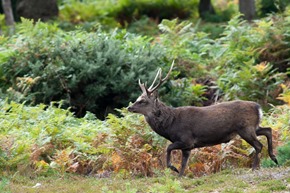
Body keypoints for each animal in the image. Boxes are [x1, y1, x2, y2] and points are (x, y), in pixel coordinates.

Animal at [127, 61, 278, 176]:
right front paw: (179, 175)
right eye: (138, 98)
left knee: (258, 145)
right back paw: (274, 158)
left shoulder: (186, 139)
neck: (170, 125)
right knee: (268, 130)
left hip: (245, 128)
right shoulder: (187, 147)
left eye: (143, 101)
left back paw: (255, 167)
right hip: (252, 127)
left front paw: (173, 168)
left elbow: (169, 148)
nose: (129, 107)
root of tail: (258, 107)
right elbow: (183, 164)